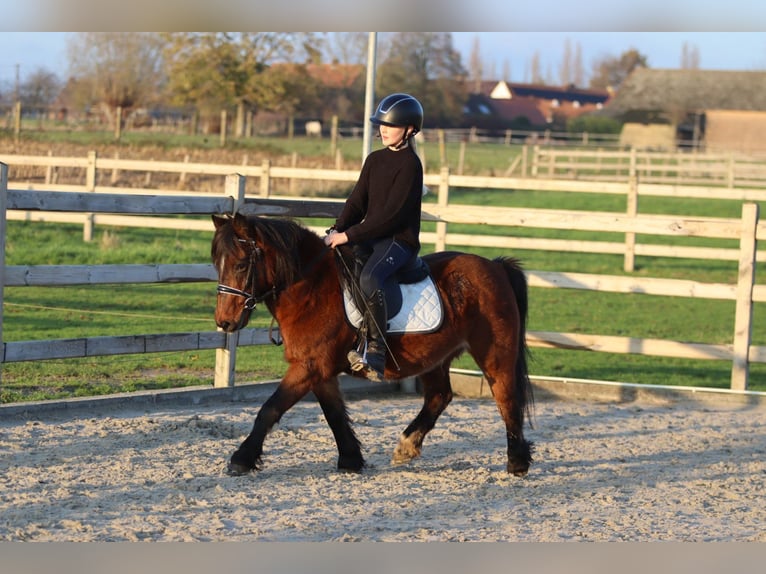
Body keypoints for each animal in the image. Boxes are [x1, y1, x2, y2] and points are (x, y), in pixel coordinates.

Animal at [211, 212, 534, 476]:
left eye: (241, 264)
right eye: (218, 265)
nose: (224, 322)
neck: (311, 288)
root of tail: (495, 267)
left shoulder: (308, 367)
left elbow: (270, 409)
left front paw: (241, 459)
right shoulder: (319, 369)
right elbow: (334, 415)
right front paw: (351, 460)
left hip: (495, 353)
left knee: (506, 396)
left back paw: (517, 462)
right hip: (435, 356)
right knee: (440, 396)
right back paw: (407, 446)